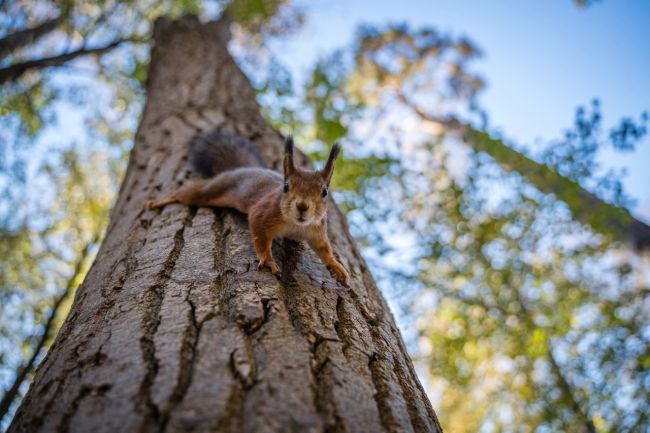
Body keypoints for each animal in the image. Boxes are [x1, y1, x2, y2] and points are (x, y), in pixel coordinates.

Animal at [147, 130, 350, 286]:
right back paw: (159, 201)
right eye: (286, 187)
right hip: (210, 190)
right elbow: (260, 238)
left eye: (324, 192)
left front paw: (337, 267)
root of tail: (241, 169)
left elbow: (324, 249)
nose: (302, 206)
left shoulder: (317, 230)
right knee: (186, 193)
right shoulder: (263, 213)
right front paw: (268, 260)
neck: (296, 225)